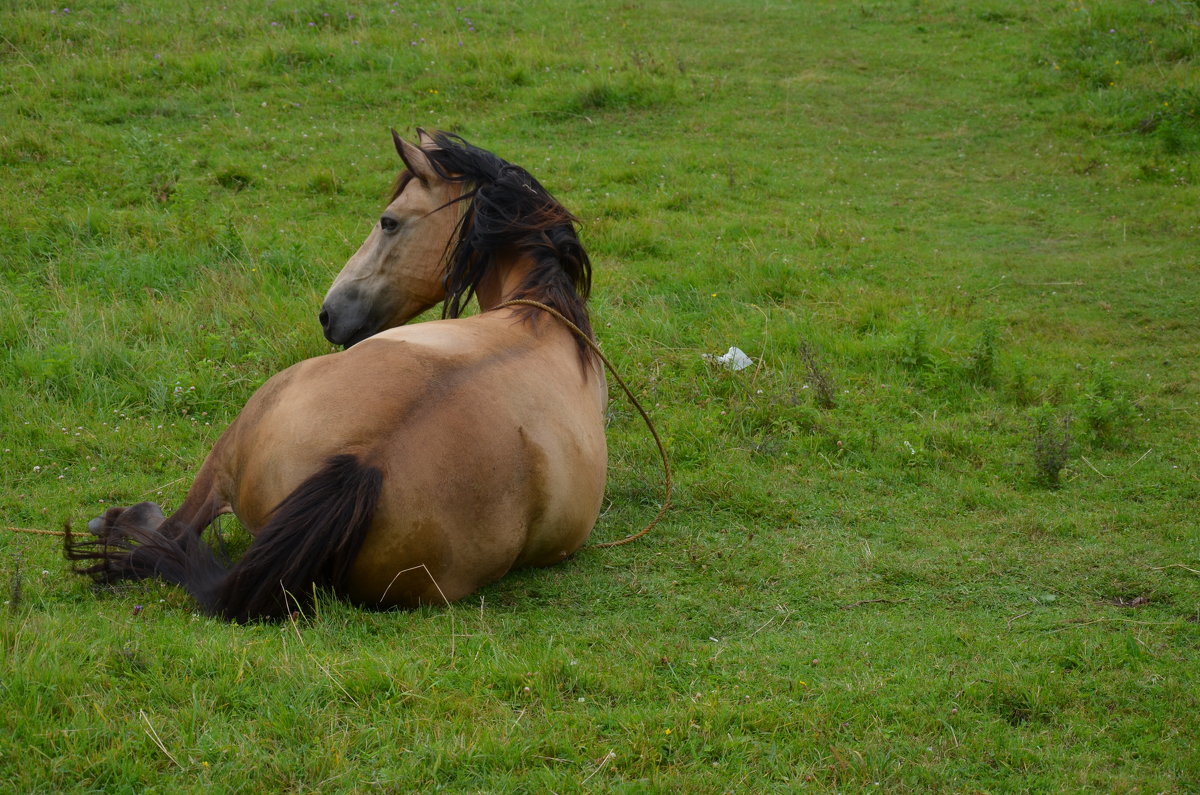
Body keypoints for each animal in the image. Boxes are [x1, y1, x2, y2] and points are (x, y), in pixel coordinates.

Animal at [65, 129, 609, 624]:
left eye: (389, 221)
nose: (329, 314)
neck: (537, 312)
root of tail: (365, 462)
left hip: (233, 438)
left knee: (171, 532)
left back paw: (116, 520)